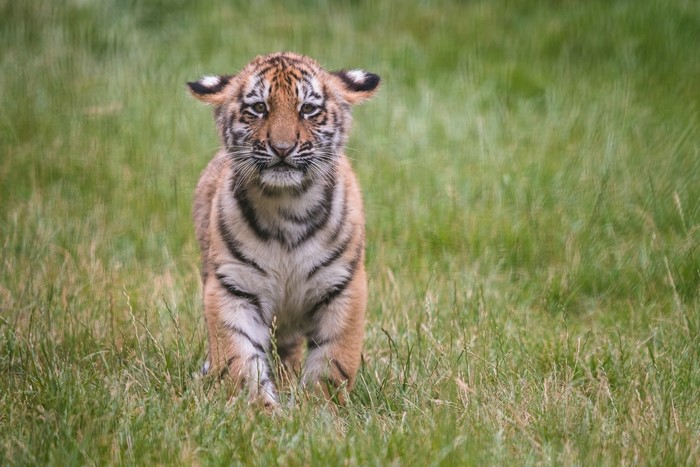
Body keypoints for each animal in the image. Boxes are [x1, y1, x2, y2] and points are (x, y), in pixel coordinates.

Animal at [187, 52, 380, 407]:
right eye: (259, 108)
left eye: (308, 109)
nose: (282, 148)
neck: (287, 204)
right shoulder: (232, 285)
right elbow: (239, 356)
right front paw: (258, 408)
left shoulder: (344, 284)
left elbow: (334, 358)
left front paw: (320, 408)